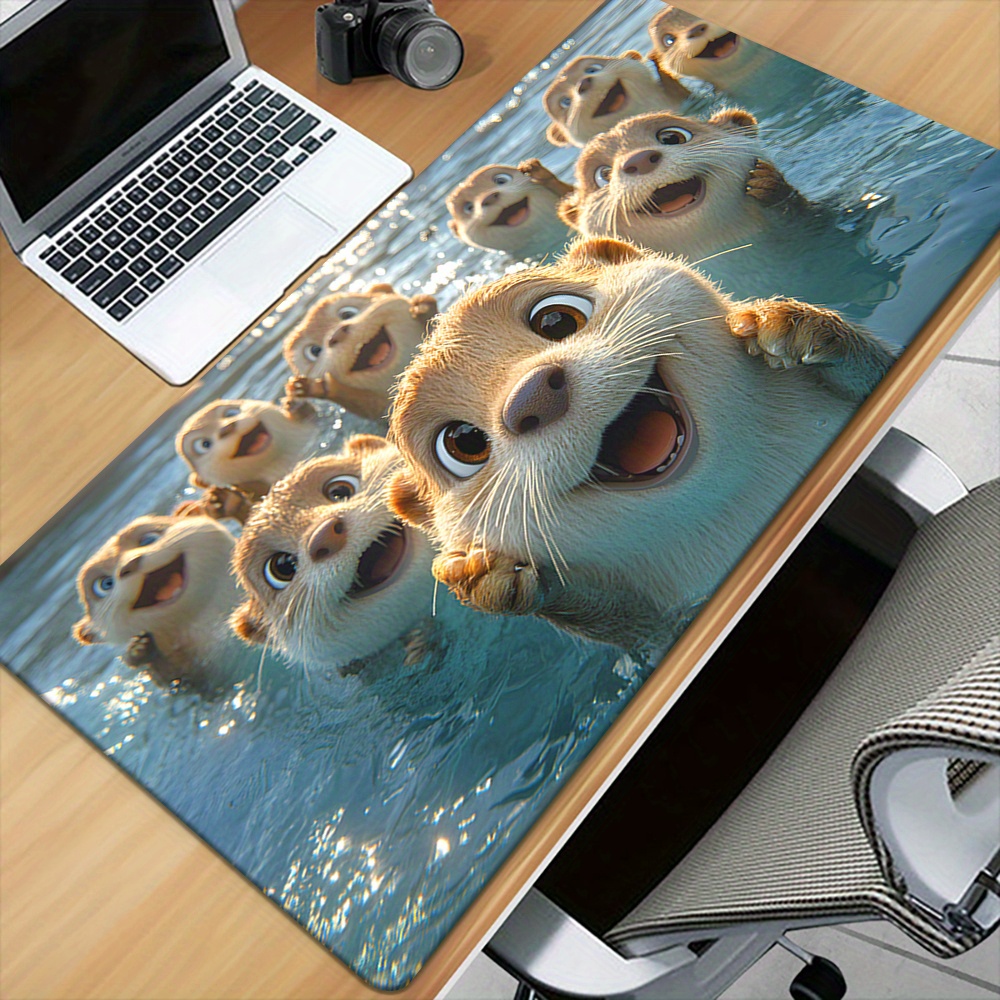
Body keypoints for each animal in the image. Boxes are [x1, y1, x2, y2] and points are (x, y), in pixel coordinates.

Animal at [283, 284, 437, 422]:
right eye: (315, 350)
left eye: (347, 314)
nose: (337, 333)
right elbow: (367, 406)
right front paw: (313, 387)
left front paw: (422, 306)